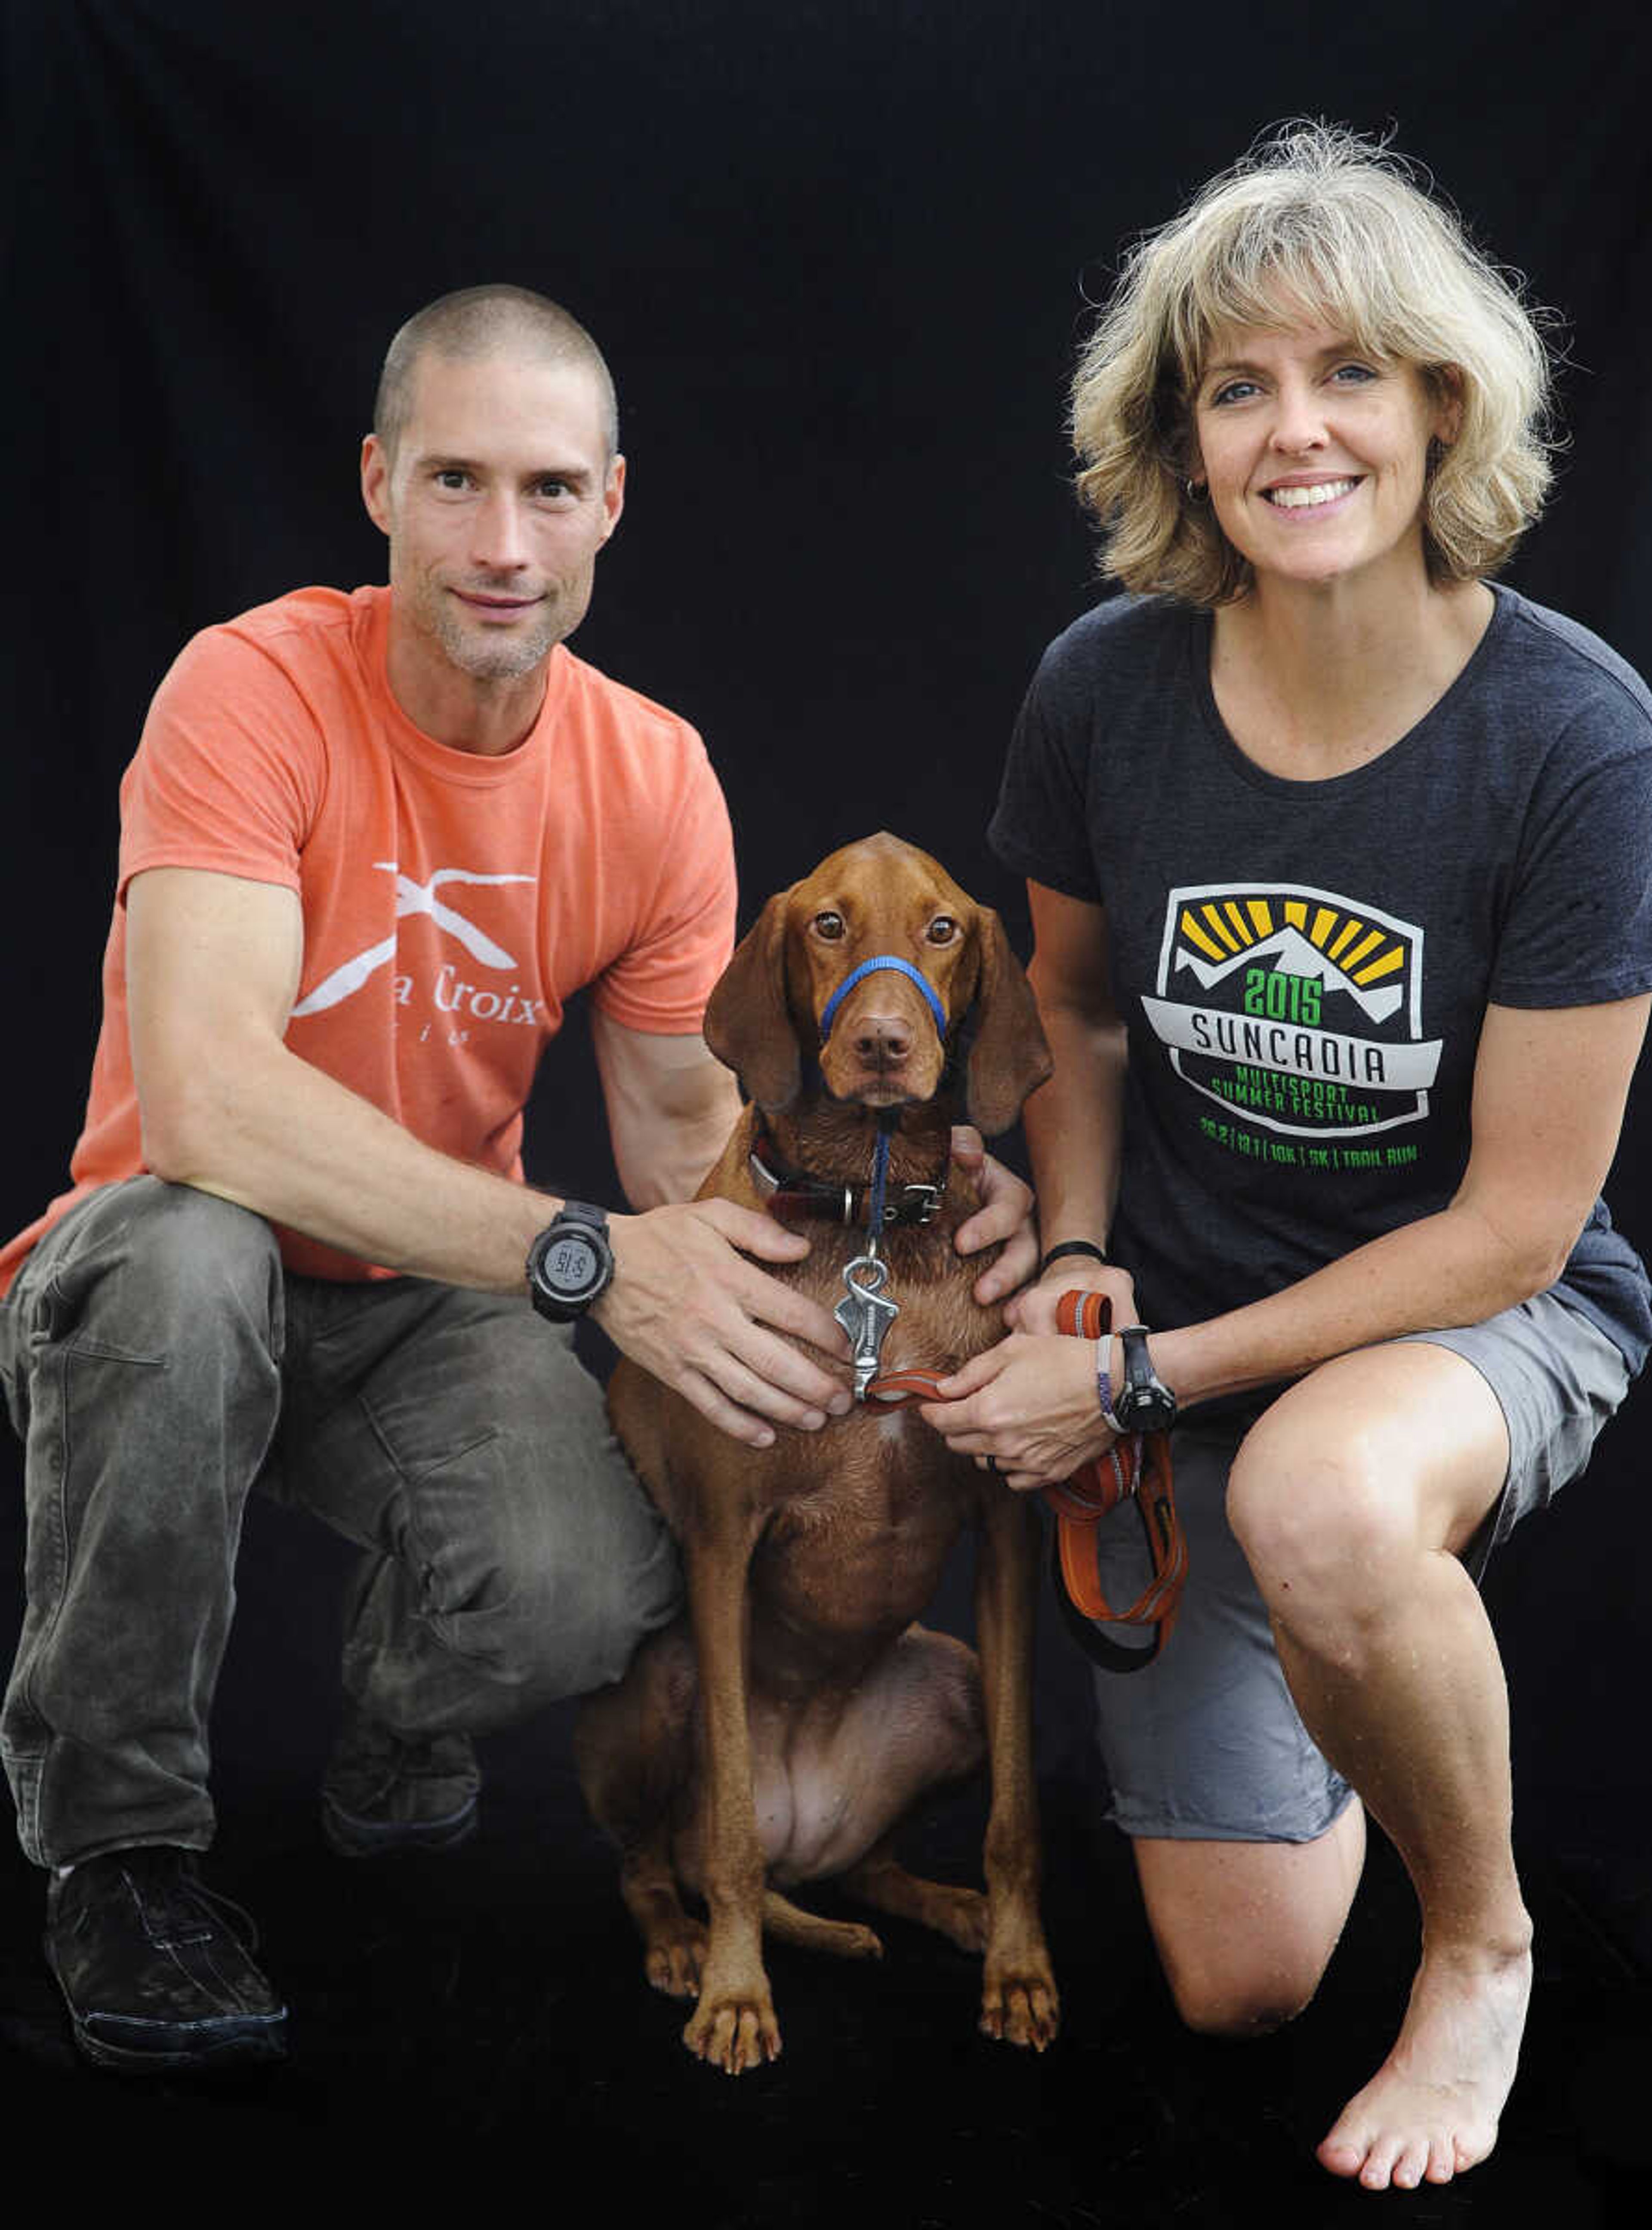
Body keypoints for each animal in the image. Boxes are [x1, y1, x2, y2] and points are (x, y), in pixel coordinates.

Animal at [575, 834, 1052, 2069]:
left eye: (943, 927)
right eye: (828, 924)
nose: (884, 1041)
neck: (870, 1213)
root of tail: (815, 1827)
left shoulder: (1006, 1530)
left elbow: (1017, 1808)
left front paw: (1020, 1967)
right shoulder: (723, 1542)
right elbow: (732, 1833)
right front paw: (738, 1994)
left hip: (952, 1672)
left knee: (868, 1864)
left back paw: (943, 1905)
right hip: (654, 1687)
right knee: (662, 1860)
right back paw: (682, 1943)